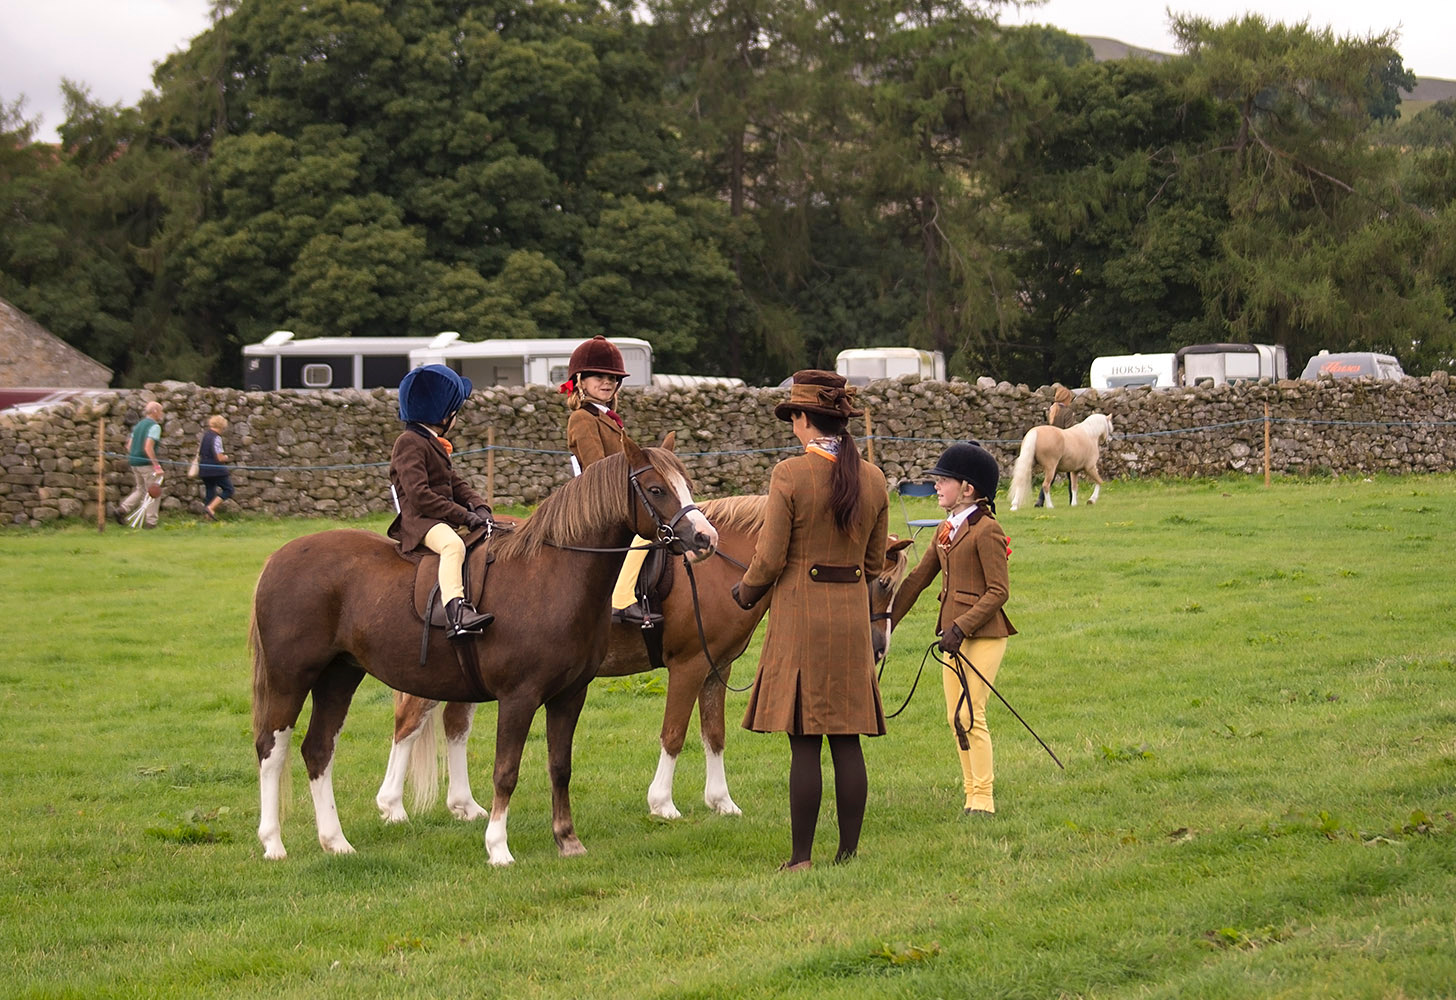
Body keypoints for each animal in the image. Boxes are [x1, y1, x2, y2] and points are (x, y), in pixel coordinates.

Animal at [257, 439, 728, 867]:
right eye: (656, 489)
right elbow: (506, 772)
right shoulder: (518, 698)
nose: (705, 538)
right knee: (271, 749)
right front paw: (498, 848)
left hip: (338, 677)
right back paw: (273, 843)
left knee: (318, 750)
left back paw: (336, 842)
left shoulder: (569, 696)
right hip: (290, 679)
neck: (550, 575)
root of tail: (278, 558)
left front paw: (567, 840)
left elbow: (560, 766)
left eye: (686, 485)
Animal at [375, 497, 908, 826]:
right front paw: (663, 804)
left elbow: (714, 734)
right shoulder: (689, 667)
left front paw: (722, 802)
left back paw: (464, 806)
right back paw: (393, 806)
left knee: (453, 725)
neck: (718, 568)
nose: (878, 647)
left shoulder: (716, 670)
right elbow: (674, 734)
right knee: (409, 722)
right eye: (879, 581)